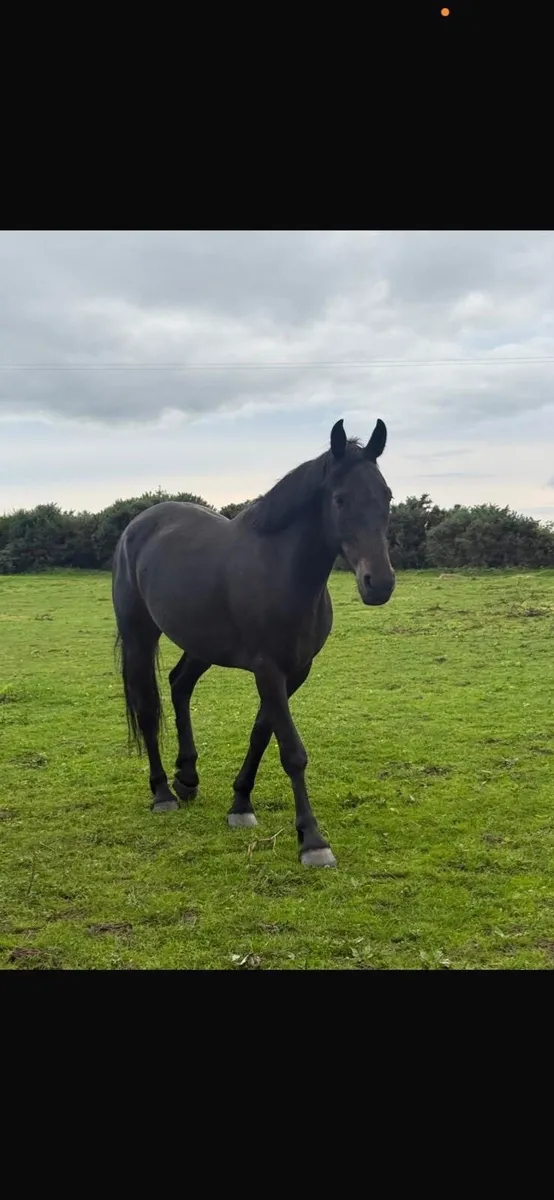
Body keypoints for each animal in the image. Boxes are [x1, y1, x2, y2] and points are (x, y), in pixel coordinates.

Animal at [112, 417, 395, 868]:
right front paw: (313, 840)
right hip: (140, 637)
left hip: (202, 643)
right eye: (340, 499)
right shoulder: (268, 669)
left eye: (386, 496)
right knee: (147, 707)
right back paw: (162, 793)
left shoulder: (295, 671)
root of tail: (138, 525)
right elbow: (292, 751)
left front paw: (241, 803)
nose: (379, 583)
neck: (283, 571)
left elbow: (262, 733)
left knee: (179, 684)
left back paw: (187, 777)